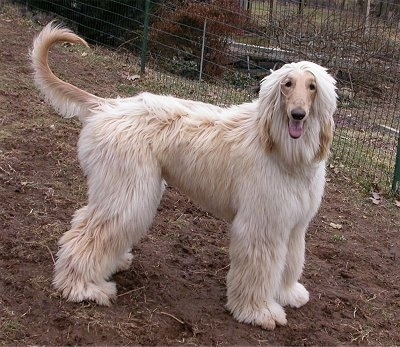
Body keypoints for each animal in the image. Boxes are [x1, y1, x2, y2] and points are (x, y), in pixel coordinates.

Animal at [32, 22, 338, 332]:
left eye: (312, 86)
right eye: (287, 84)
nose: (298, 115)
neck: (284, 152)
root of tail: (107, 105)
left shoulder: (294, 222)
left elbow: (291, 260)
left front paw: (287, 293)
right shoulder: (262, 223)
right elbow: (259, 269)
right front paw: (259, 310)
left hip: (120, 186)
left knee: (89, 222)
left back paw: (111, 263)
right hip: (128, 188)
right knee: (89, 234)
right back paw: (83, 287)